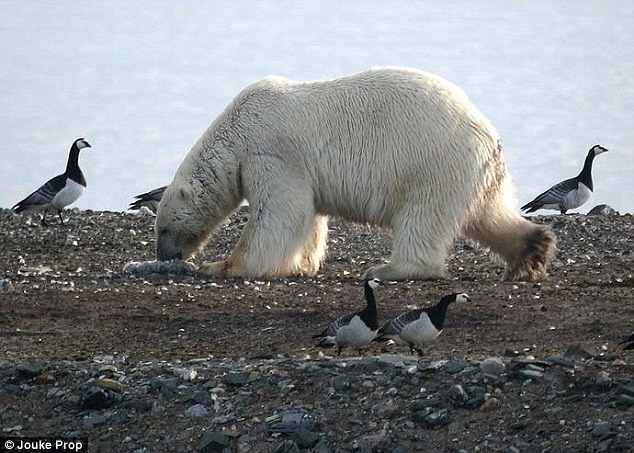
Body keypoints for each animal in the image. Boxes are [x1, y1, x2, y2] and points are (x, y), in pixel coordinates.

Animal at [157, 66, 552, 278]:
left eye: (162, 227)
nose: (164, 256)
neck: (236, 130)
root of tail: (487, 135)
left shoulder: (271, 154)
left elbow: (279, 214)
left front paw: (222, 265)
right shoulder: (298, 168)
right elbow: (308, 218)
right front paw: (301, 265)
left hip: (433, 163)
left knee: (422, 218)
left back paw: (390, 269)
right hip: (476, 173)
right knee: (488, 213)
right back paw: (532, 249)